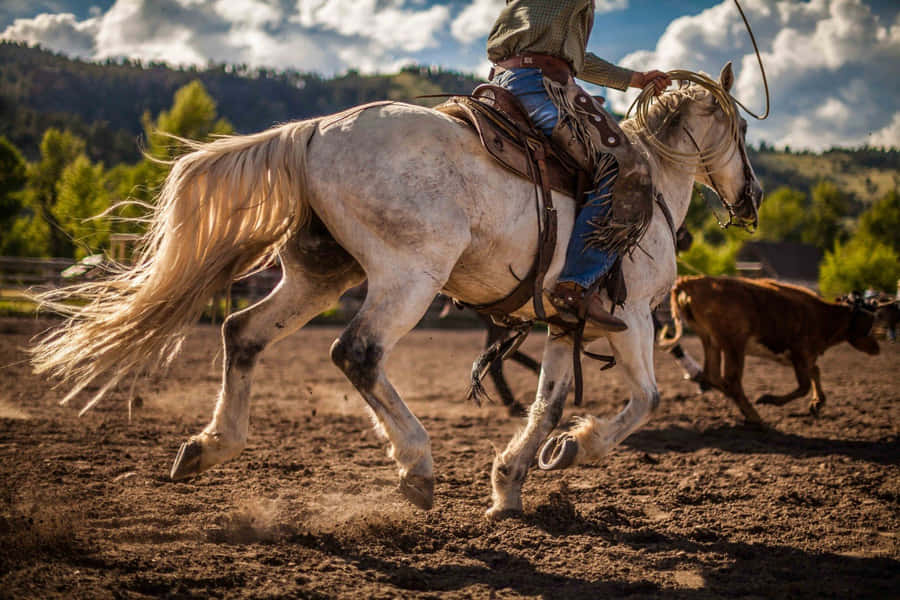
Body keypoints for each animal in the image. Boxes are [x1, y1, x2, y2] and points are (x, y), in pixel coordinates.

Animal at [32, 62, 761, 518]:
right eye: (744, 130)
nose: (751, 197)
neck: (653, 180)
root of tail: (312, 131)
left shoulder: (565, 319)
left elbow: (549, 402)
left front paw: (511, 482)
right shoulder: (631, 314)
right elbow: (646, 398)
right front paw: (575, 450)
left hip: (322, 274)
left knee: (242, 333)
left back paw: (210, 447)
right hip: (407, 278)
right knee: (356, 353)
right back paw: (416, 467)